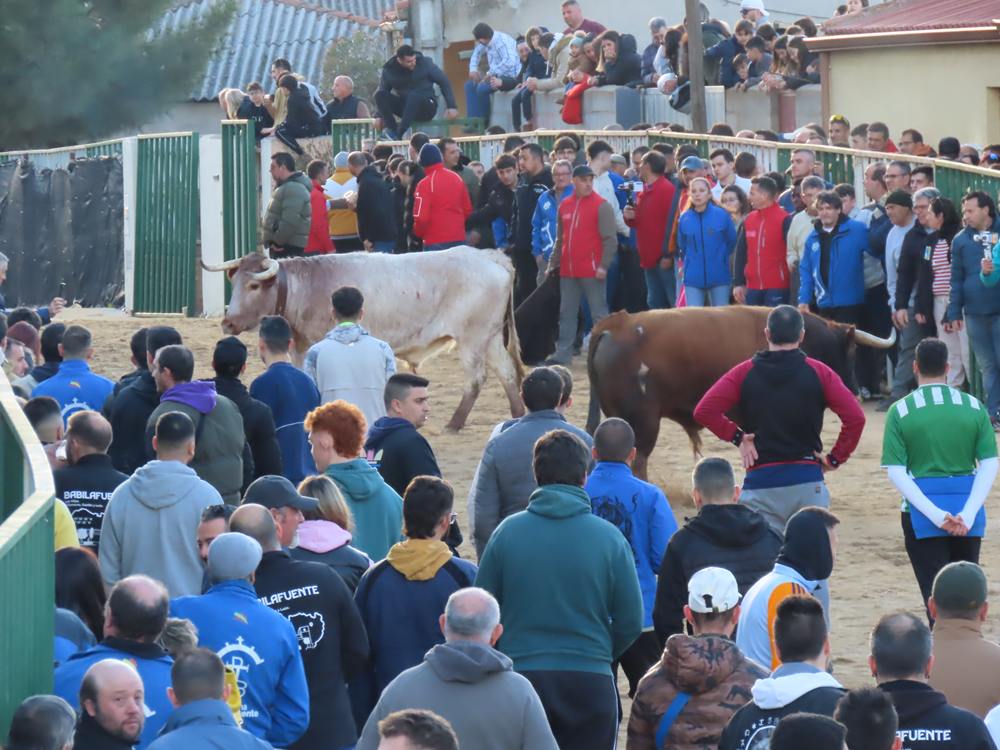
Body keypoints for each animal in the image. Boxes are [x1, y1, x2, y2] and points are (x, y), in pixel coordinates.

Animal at [205, 248, 532, 428]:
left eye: (253, 286)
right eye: (235, 282)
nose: (228, 322)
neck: (308, 287)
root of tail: (492, 256)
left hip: (472, 339)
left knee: (476, 379)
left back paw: (455, 423)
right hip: (490, 337)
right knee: (506, 373)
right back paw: (517, 414)